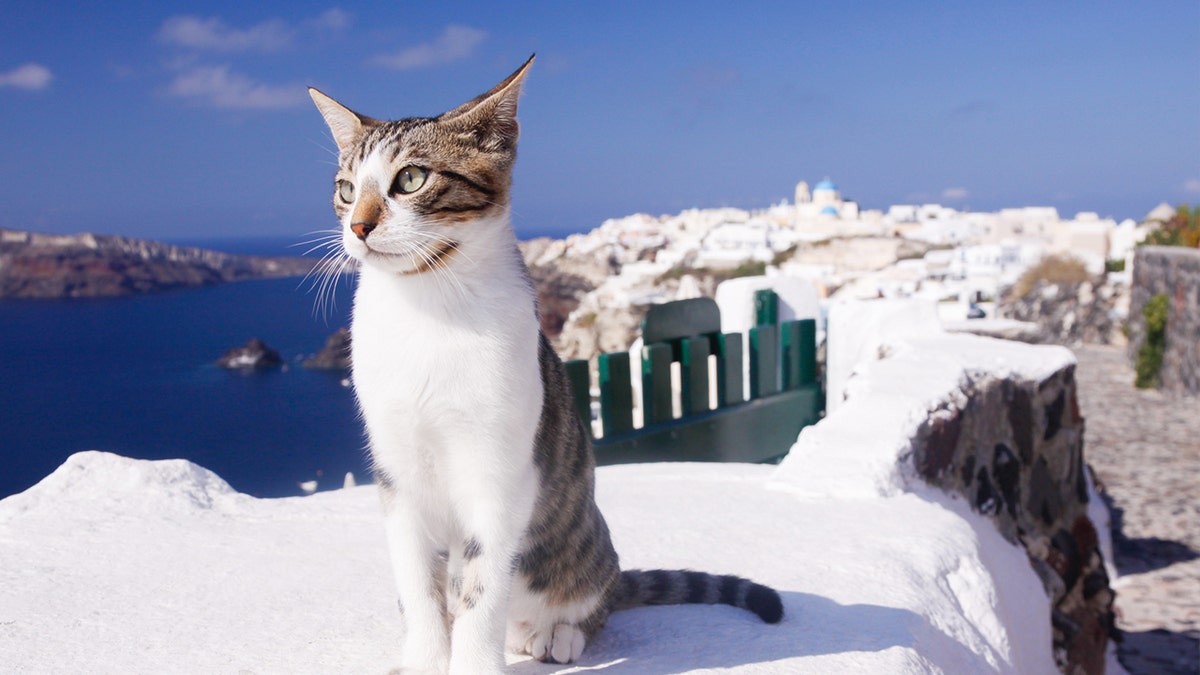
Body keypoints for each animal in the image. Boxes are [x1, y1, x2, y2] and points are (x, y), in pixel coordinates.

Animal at [304, 57, 782, 672]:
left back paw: (559, 635)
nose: (358, 227)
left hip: (587, 551)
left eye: (410, 179)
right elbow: (419, 585)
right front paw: (426, 656)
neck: (429, 313)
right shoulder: (396, 472)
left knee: (591, 600)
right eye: (345, 190)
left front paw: (472, 661)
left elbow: (482, 585)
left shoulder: (499, 471)